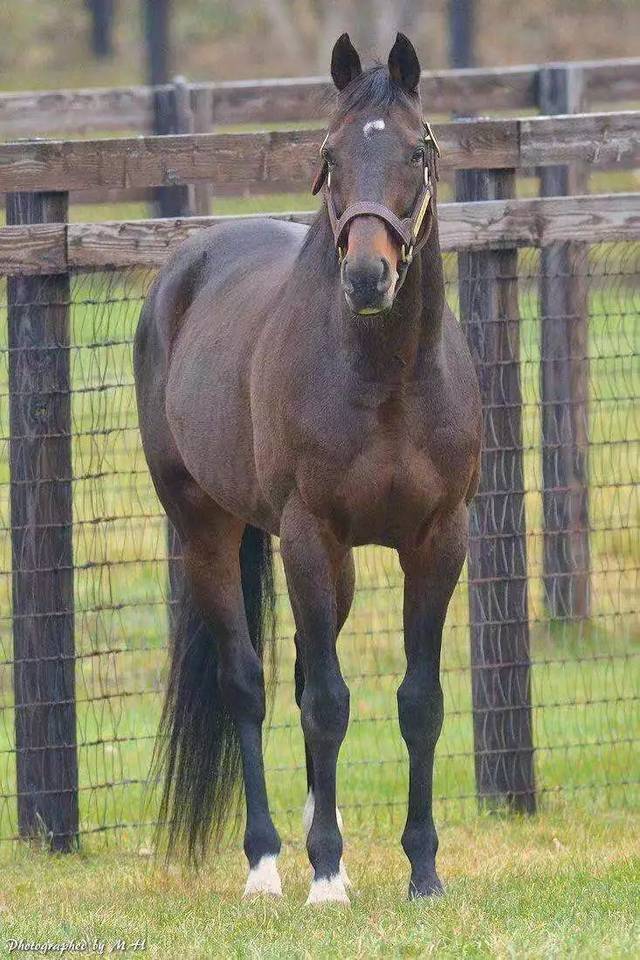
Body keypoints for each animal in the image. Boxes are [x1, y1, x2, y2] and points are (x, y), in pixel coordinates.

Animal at [135, 33, 480, 904]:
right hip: (210, 532)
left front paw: (423, 871)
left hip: (337, 565)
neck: (387, 379)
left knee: (292, 679)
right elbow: (327, 701)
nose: (366, 276)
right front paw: (325, 876)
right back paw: (266, 865)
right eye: (329, 152)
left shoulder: (439, 539)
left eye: (418, 150)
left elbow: (419, 702)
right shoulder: (308, 536)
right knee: (249, 685)